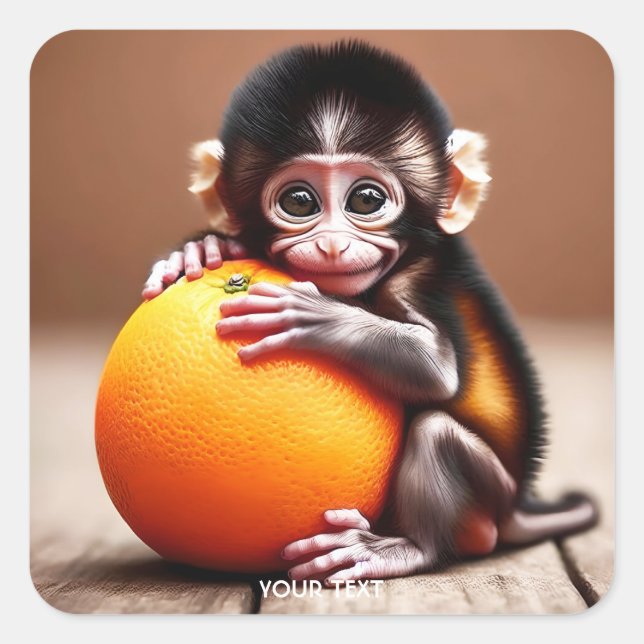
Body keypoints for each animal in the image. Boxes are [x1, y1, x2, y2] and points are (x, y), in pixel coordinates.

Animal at [142, 41, 598, 584]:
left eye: (365, 199)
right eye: (300, 201)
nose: (334, 245)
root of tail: (516, 506)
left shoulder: (420, 277)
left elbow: (436, 369)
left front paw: (311, 313)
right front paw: (202, 248)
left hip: (489, 489)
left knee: (436, 432)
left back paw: (405, 548)